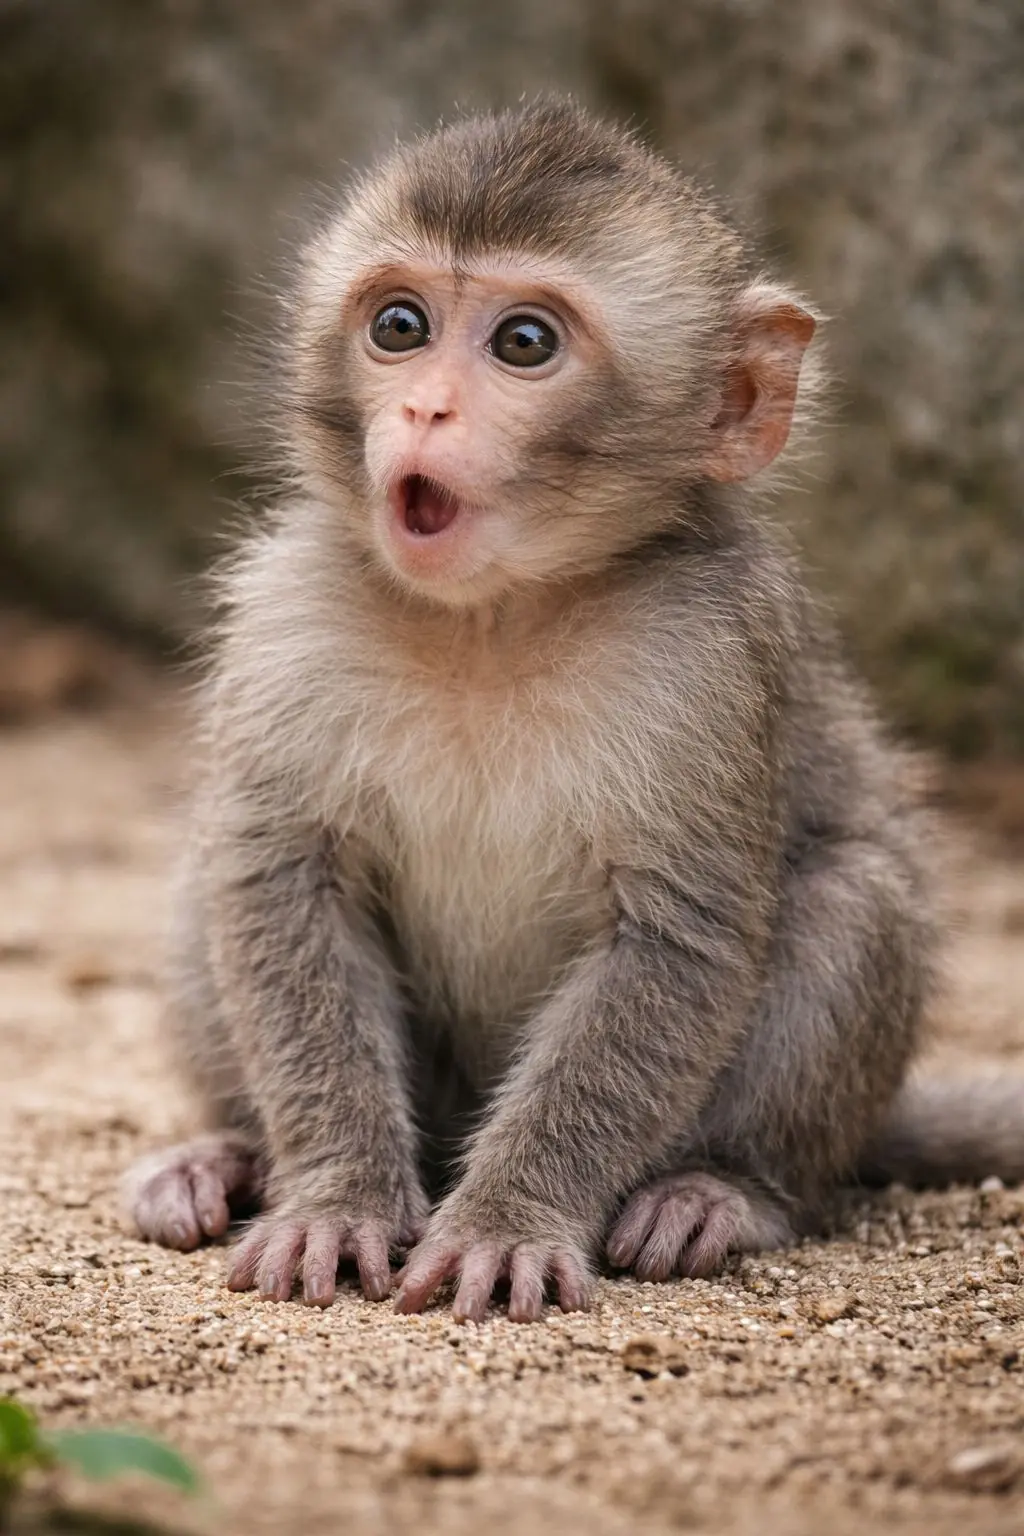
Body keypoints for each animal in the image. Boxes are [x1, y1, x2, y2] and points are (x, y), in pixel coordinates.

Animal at [123, 100, 1024, 1324]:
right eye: (399, 325)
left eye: (523, 345)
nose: (424, 405)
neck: (490, 623)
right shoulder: (287, 613)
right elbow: (280, 880)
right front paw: (334, 1197)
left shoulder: (705, 661)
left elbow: (679, 936)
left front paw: (508, 1221)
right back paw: (226, 1156)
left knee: (853, 897)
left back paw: (724, 1189)